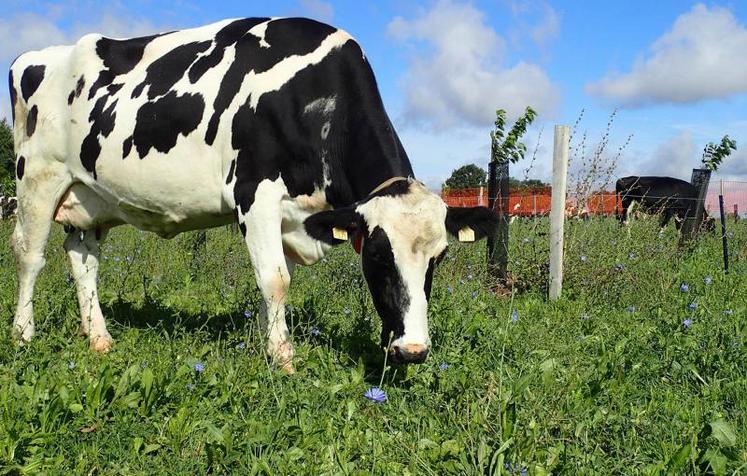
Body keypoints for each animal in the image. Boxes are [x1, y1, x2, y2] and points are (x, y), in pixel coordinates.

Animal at [7, 18, 496, 372]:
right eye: (377, 254)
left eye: (439, 257)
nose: (413, 349)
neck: (314, 99)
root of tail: (34, 56)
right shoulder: (255, 195)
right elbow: (275, 280)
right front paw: (283, 360)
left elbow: (274, 281)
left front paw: (266, 342)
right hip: (38, 178)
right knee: (29, 255)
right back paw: (22, 334)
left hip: (91, 198)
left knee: (82, 259)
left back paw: (99, 338)